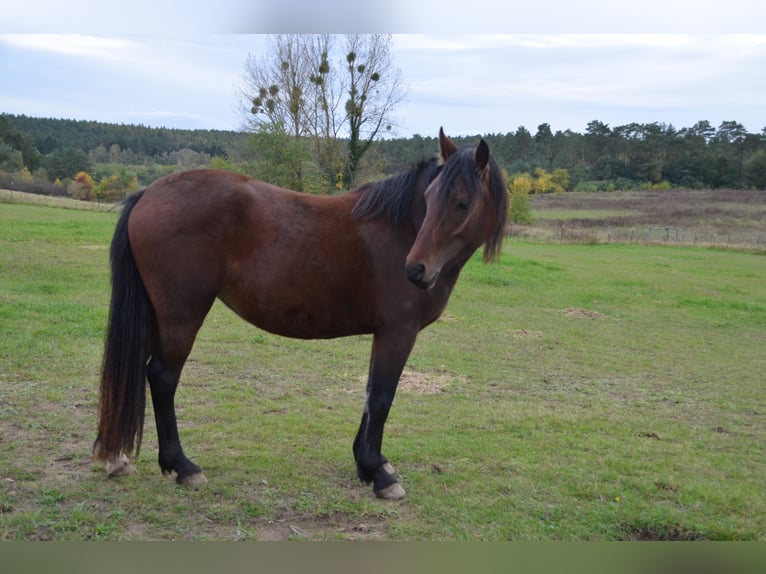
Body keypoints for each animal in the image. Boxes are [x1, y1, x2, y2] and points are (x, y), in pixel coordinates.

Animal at [94, 128, 508, 500]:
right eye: (430, 196)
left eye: (461, 202)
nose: (416, 270)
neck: (400, 227)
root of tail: (148, 193)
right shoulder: (398, 333)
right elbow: (382, 397)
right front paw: (379, 475)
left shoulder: (384, 335)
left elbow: (370, 392)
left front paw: (367, 463)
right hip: (180, 316)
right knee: (162, 377)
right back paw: (182, 466)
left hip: (156, 316)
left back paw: (117, 459)